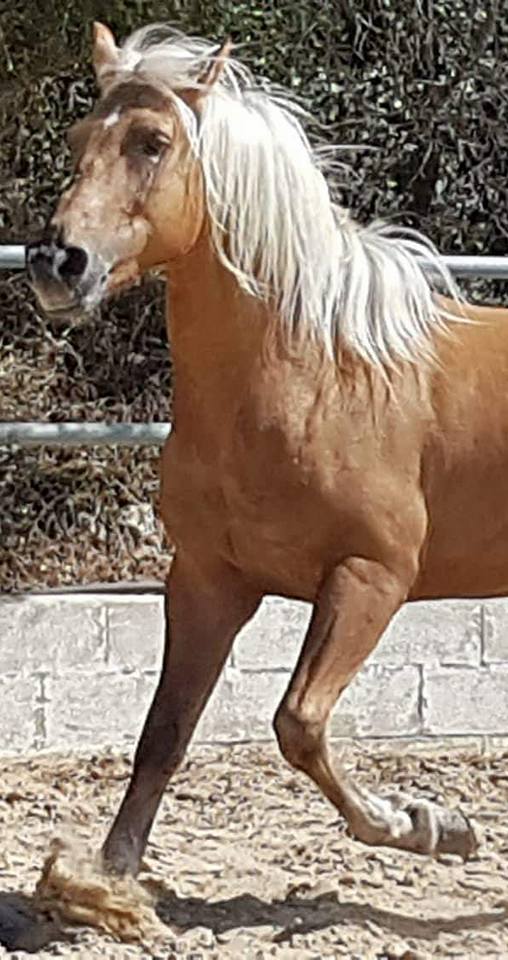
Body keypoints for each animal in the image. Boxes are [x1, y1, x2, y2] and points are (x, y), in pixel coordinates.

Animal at [27, 21, 508, 879]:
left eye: (152, 142)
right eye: (81, 139)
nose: (58, 263)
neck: (315, 376)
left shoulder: (370, 576)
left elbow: (299, 723)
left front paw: (429, 823)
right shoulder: (208, 580)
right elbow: (163, 735)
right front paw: (106, 883)